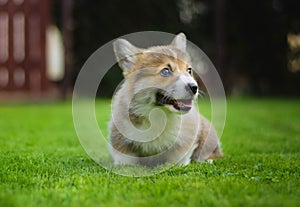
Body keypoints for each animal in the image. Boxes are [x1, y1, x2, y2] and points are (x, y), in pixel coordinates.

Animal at [109, 33, 221, 167]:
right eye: (166, 71)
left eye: (189, 70)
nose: (194, 87)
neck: (157, 112)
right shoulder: (119, 134)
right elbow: (125, 159)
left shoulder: (187, 136)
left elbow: (178, 156)